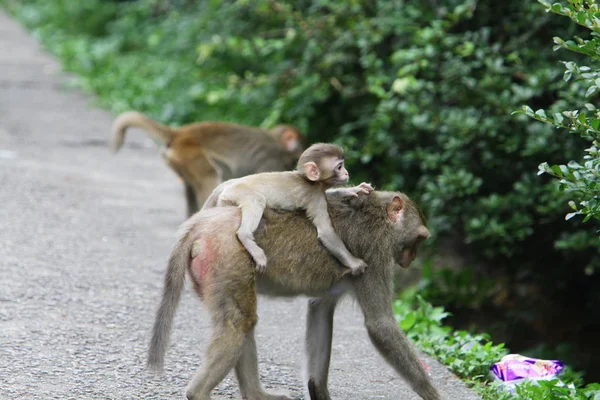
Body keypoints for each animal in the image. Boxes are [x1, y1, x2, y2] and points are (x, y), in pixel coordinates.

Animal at [110, 109, 304, 216]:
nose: (299, 160)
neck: (277, 141)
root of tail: (179, 133)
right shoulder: (271, 159)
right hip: (191, 155)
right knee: (209, 176)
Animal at [148, 189, 442, 400]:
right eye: (418, 239)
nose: (410, 260)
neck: (379, 216)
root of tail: (203, 223)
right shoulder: (375, 253)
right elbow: (380, 324)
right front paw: (433, 394)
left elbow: (320, 311)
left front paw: (318, 389)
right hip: (228, 256)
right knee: (238, 323)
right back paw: (200, 393)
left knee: (243, 321)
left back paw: (257, 394)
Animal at [204, 142, 372, 276]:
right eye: (339, 167)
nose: (346, 172)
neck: (311, 181)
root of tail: (229, 183)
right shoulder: (314, 196)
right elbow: (326, 233)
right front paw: (354, 262)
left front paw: (353, 190)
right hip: (236, 192)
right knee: (257, 200)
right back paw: (245, 236)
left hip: (225, 201)